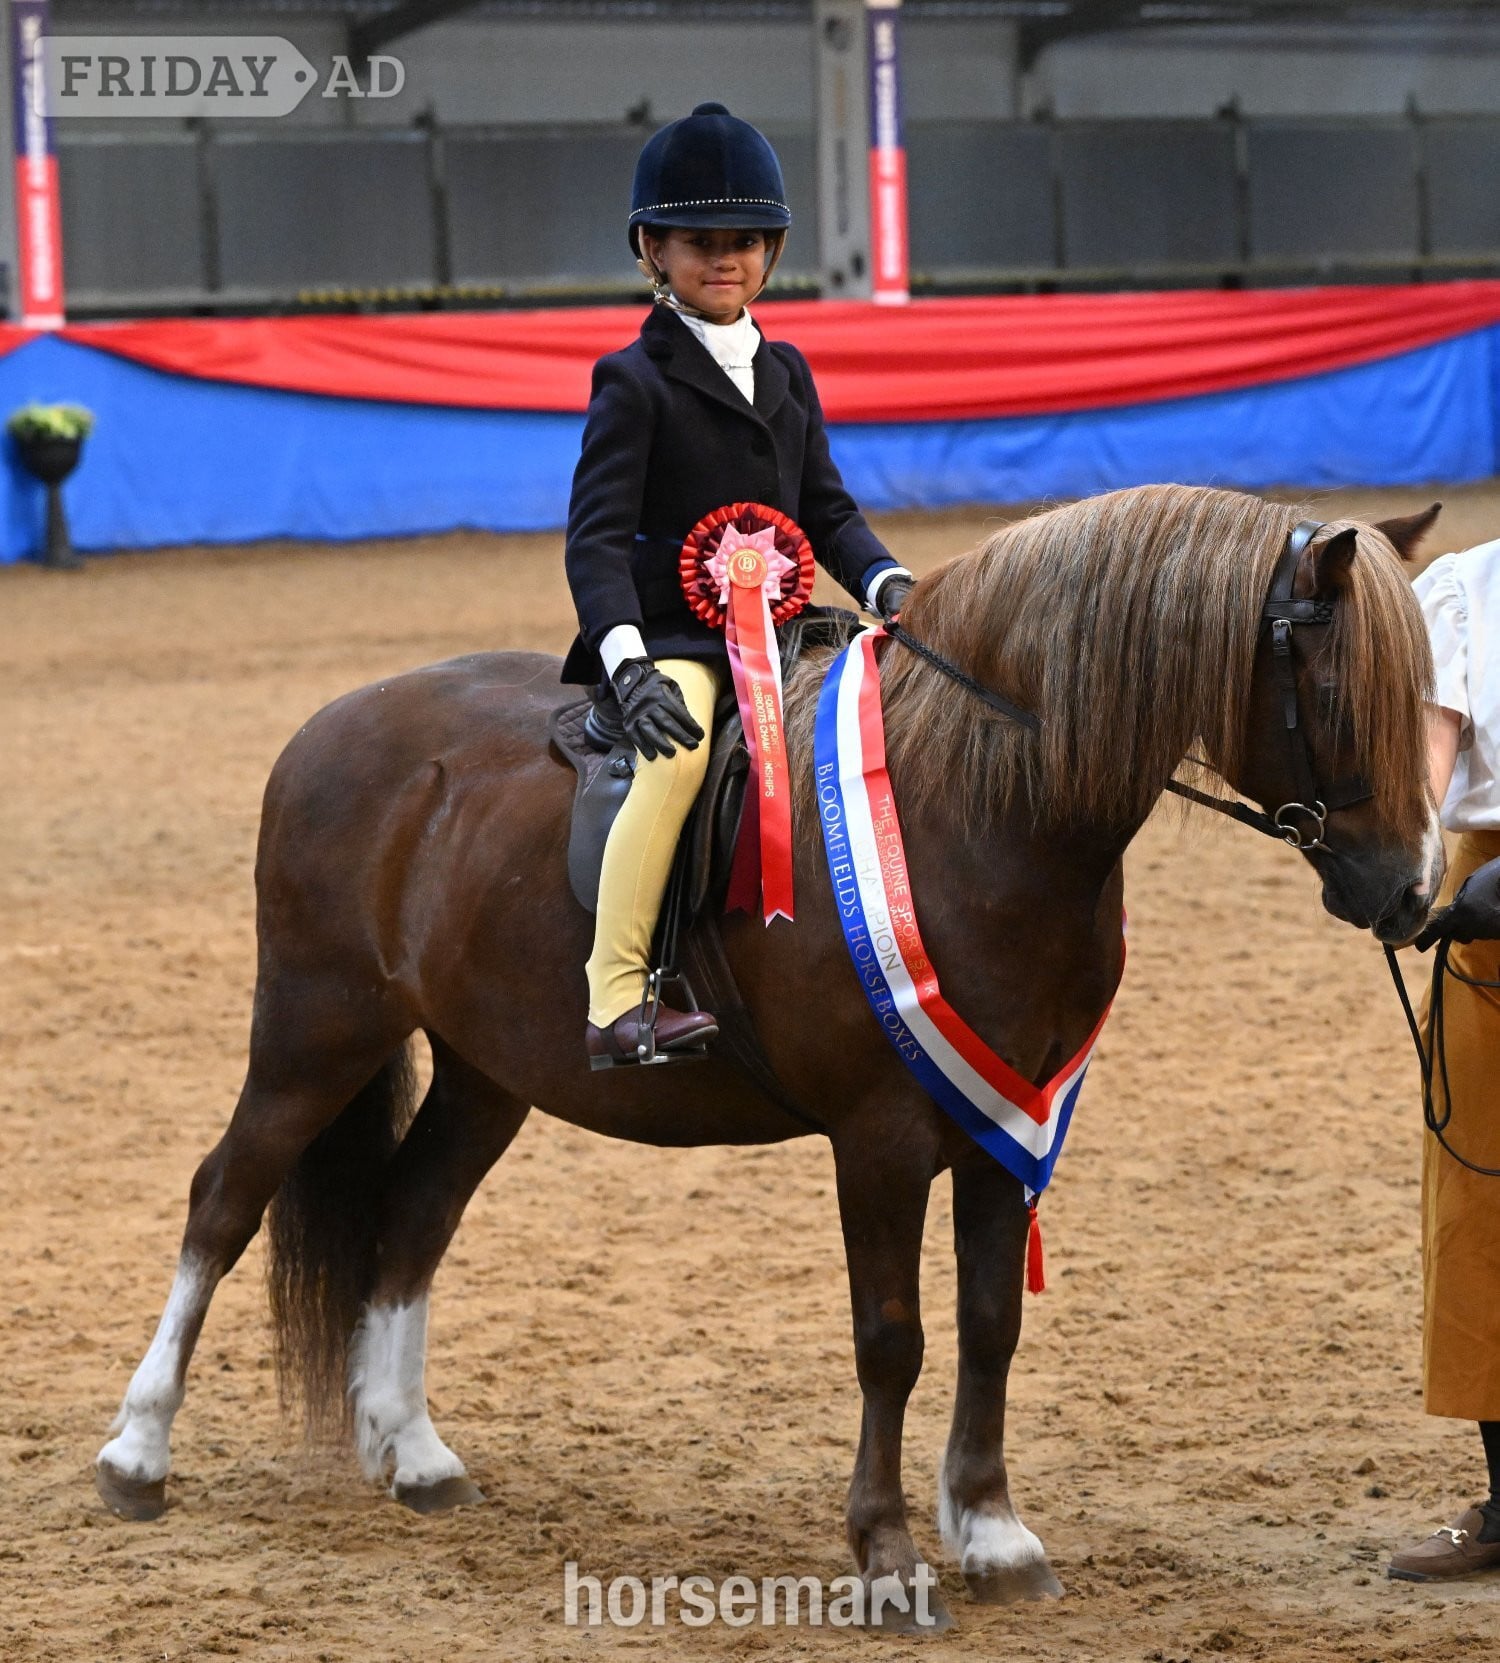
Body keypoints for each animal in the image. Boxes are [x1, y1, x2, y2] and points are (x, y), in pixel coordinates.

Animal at [95, 484, 1441, 1630]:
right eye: (1335, 689)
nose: (1413, 893)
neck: (978, 804)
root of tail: (332, 723)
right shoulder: (883, 1136)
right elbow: (893, 1337)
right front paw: (889, 1559)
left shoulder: (1010, 1124)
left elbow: (991, 1322)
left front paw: (996, 1533)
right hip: (316, 1027)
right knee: (224, 1200)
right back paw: (137, 1453)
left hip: (488, 1070)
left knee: (412, 1216)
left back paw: (414, 1454)